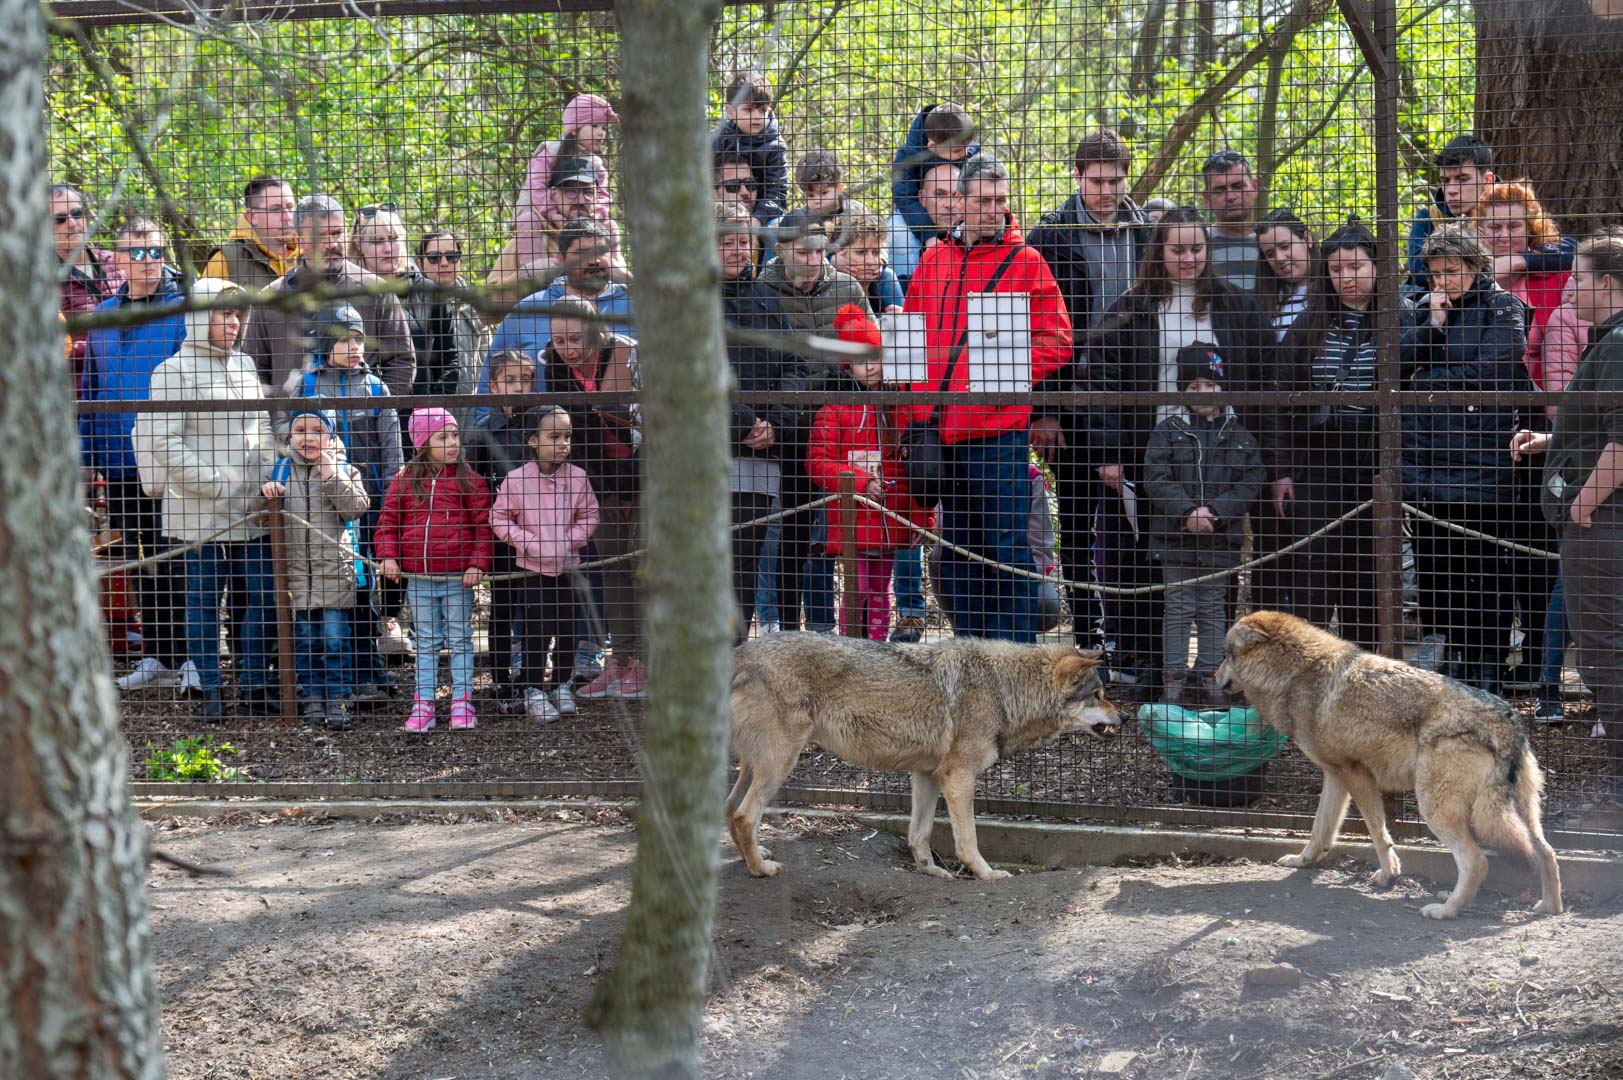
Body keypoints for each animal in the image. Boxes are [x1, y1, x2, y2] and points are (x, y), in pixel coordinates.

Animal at [726, 633, 1118, 881]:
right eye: (1097, 695)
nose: (1126, 717)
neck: (1003, 689)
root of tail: (739, 653)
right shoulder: (958, 777)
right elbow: (968, 840)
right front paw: (987, 874)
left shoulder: (927, 775)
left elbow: (920, 832)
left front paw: (931, 870)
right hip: (781, 764)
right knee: (745, 815)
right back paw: (760, 869)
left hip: (755, 767)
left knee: (730, 810)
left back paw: (754, 855)